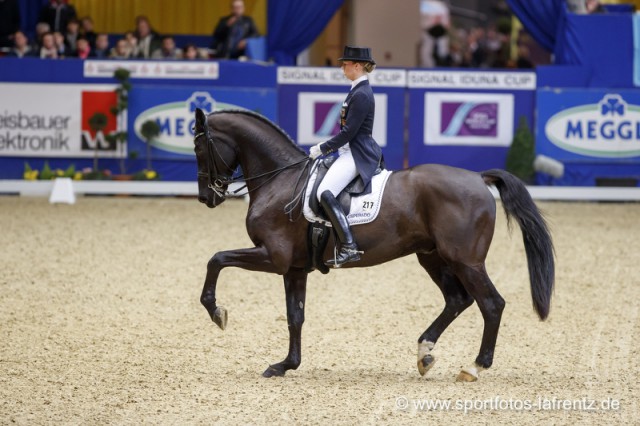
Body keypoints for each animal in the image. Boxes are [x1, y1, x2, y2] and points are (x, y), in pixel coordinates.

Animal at [191, 108, 556, 382]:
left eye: (199, 149)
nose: (207, 197)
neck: (280, 179)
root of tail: (479, 178)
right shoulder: (294, 267)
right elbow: (295, 316)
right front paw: (285, 365)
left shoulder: (274, 257)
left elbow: (216, 259)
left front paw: (217, 312)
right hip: (433, 257)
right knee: (458, 300)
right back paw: (425, 353)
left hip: (465, 261)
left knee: (491, 304)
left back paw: (474, 367)